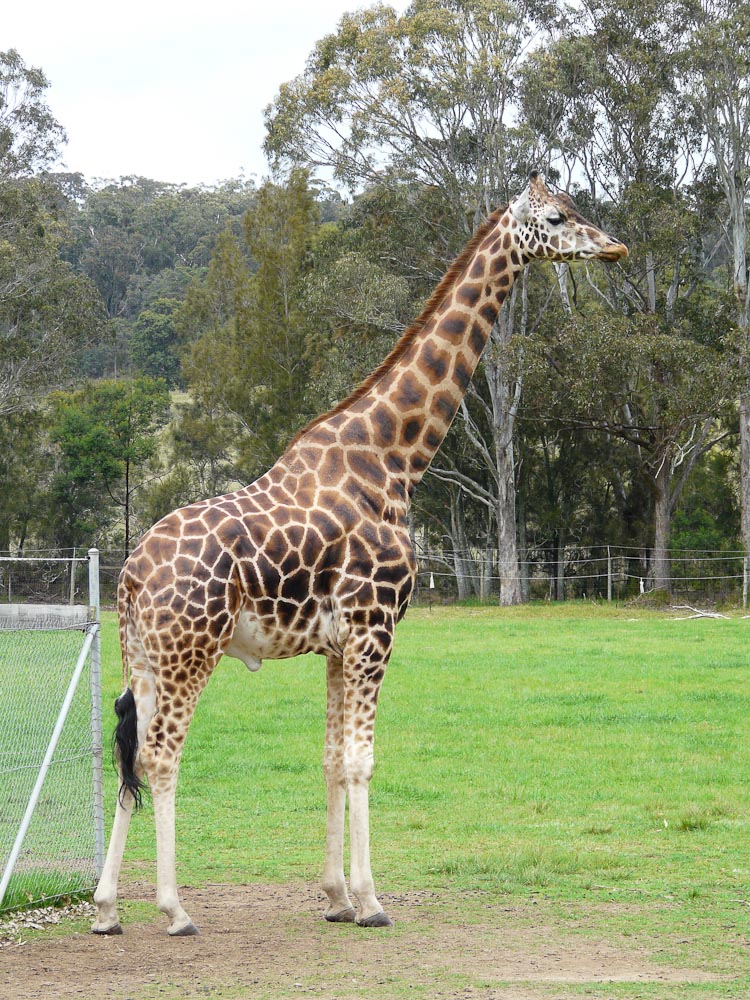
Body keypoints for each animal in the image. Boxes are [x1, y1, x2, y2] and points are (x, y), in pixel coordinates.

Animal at [92, 172, 627, 936]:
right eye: (557, 217)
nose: (613, 247)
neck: (394, 457)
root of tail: (131, 576)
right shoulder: (376, 629)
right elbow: (361, 761)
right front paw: (371, 901)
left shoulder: (339, 644)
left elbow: (328, 759)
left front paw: (335, 897)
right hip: (190, 652)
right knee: (163, 756)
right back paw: (174, 909)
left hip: (142, 655)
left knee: (130, 753)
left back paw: (107, 908)